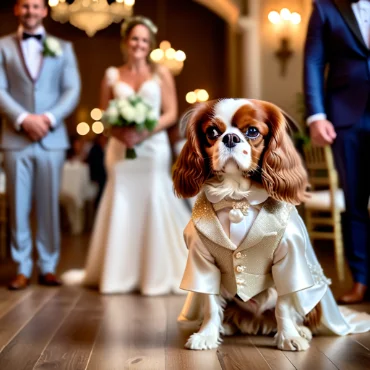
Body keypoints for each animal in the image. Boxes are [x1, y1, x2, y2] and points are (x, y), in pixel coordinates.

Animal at [173, 99, 326, 352]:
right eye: (212, 132)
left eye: (252, 131)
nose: (230, 138)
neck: (237, 197)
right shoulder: (202, 258)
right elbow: (210, 303)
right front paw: (206, 335)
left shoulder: (289, 258)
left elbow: (284, 305)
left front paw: (289, 337)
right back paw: (227, 325)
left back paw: (301, 330)